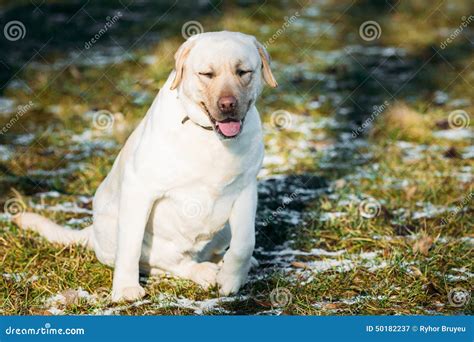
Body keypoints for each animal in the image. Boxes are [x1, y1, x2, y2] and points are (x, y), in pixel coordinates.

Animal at [13, 30, 278, 300]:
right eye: (207, 74)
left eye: (243, 72)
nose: (228, 104)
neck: (210, 137)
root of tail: (93, 233)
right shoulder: (139, 188)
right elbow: (130, 246)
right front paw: (125, 289)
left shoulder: (245, 188)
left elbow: (245, 242)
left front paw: (232, 278)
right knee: (168, 263)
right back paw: (203, 271)